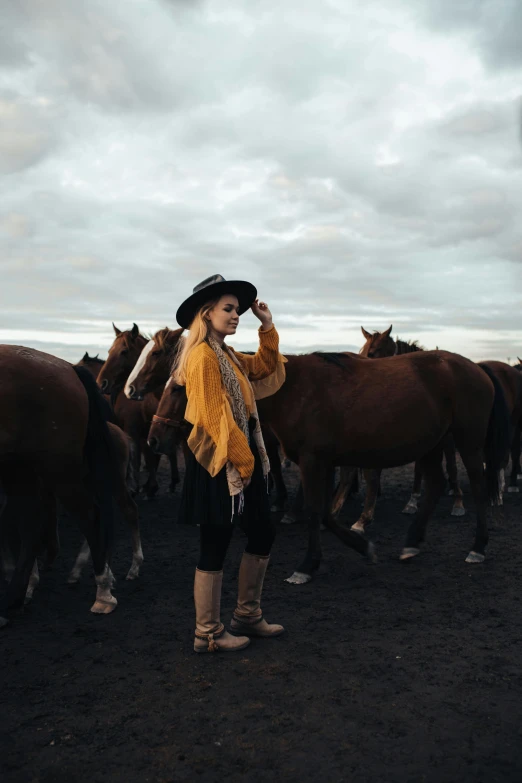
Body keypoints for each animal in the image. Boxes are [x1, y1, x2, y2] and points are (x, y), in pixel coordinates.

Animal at [0, 350, 118, 624]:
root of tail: (68, 369)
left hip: (58, 471)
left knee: (90, 519)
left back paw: (103, 594)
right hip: (21, 470)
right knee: (30, 526)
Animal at [146, 348, 508, 580]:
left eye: (178, 389)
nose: (154, 439)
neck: (292, 390)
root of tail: (477, 367)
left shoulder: (313, 461)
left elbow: (315, 511)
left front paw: (307, 565)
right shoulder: (325, 462)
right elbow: (325, 514)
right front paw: (362, 546)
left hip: (467, 443)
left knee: (477, 486)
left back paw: (478, 546)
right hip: (433, 445)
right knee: (434, 486)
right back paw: (412, 543)